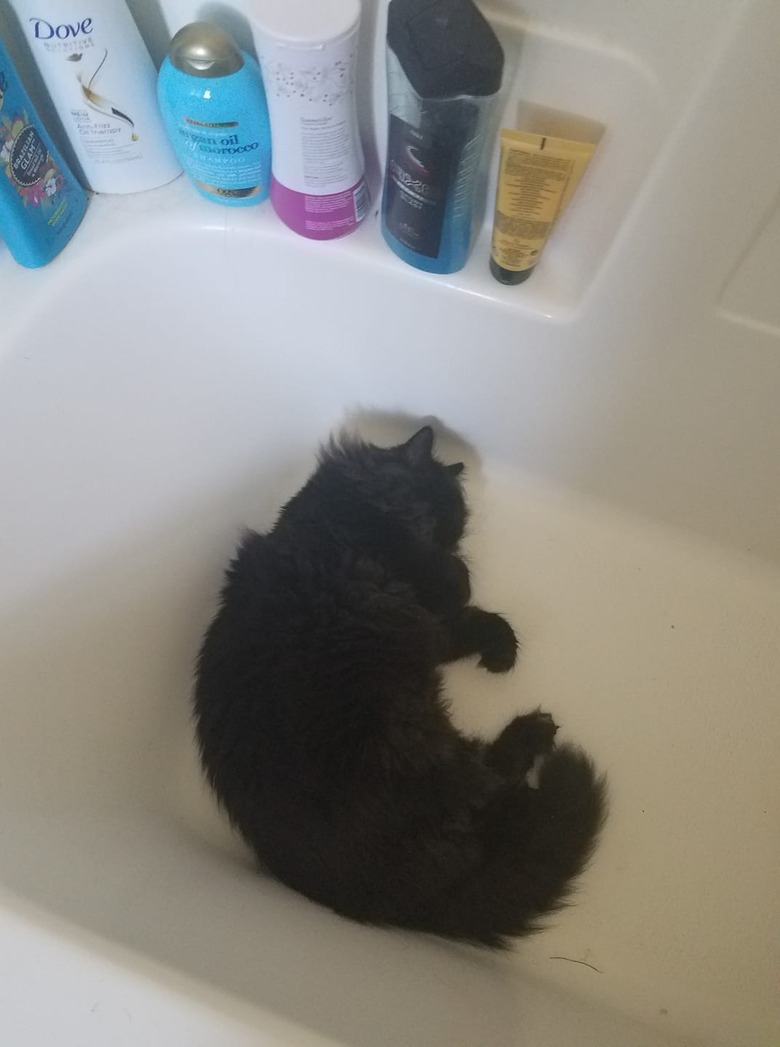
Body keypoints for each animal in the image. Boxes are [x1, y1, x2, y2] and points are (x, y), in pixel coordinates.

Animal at [191, 425, 607, 950]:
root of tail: (394, 902)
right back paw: (534, 734)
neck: (335, 518)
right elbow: (460, 610)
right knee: (493, 779)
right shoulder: (425, 604)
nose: (452, 550)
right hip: (418, 742)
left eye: (456, 528)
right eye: (434, 518)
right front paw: (495, 637)